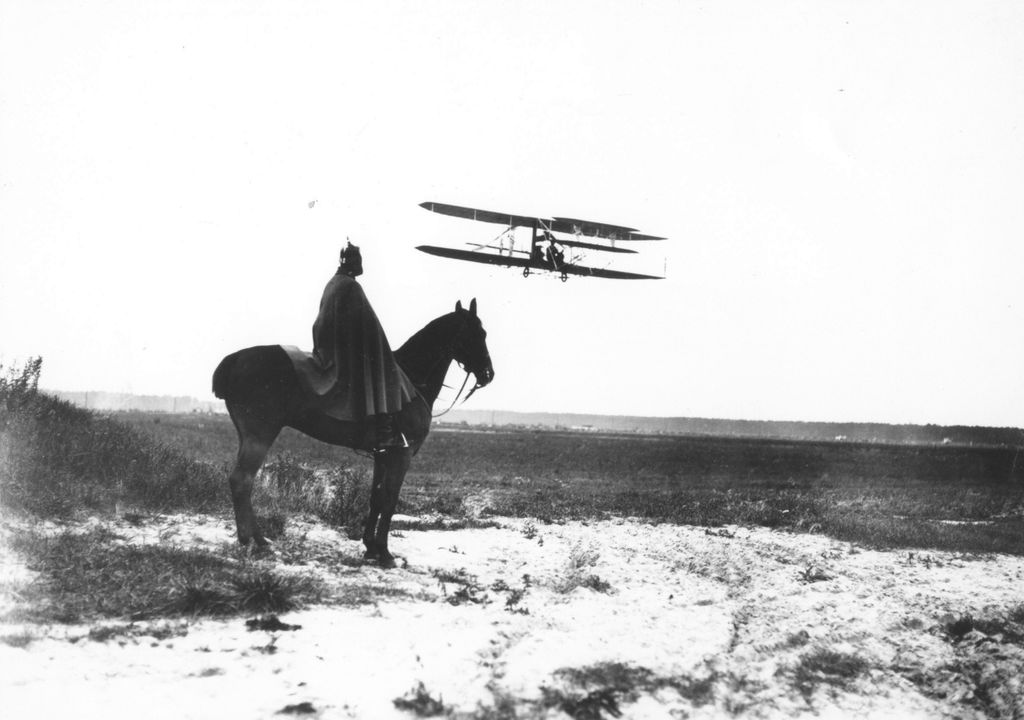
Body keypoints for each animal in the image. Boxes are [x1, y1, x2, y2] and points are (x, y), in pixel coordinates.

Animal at [210, 299, 491, 569]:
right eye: (476, 333)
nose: (488, 374)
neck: (409, 382)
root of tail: (236, 359)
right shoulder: (402, 453)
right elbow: (390, 500)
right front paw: (385, 553)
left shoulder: (384, 454)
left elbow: (376, 498)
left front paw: (370, 548)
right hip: (260, 435)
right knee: (242, 480)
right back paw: (254, 541)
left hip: (247, 436)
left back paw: (254, 539)